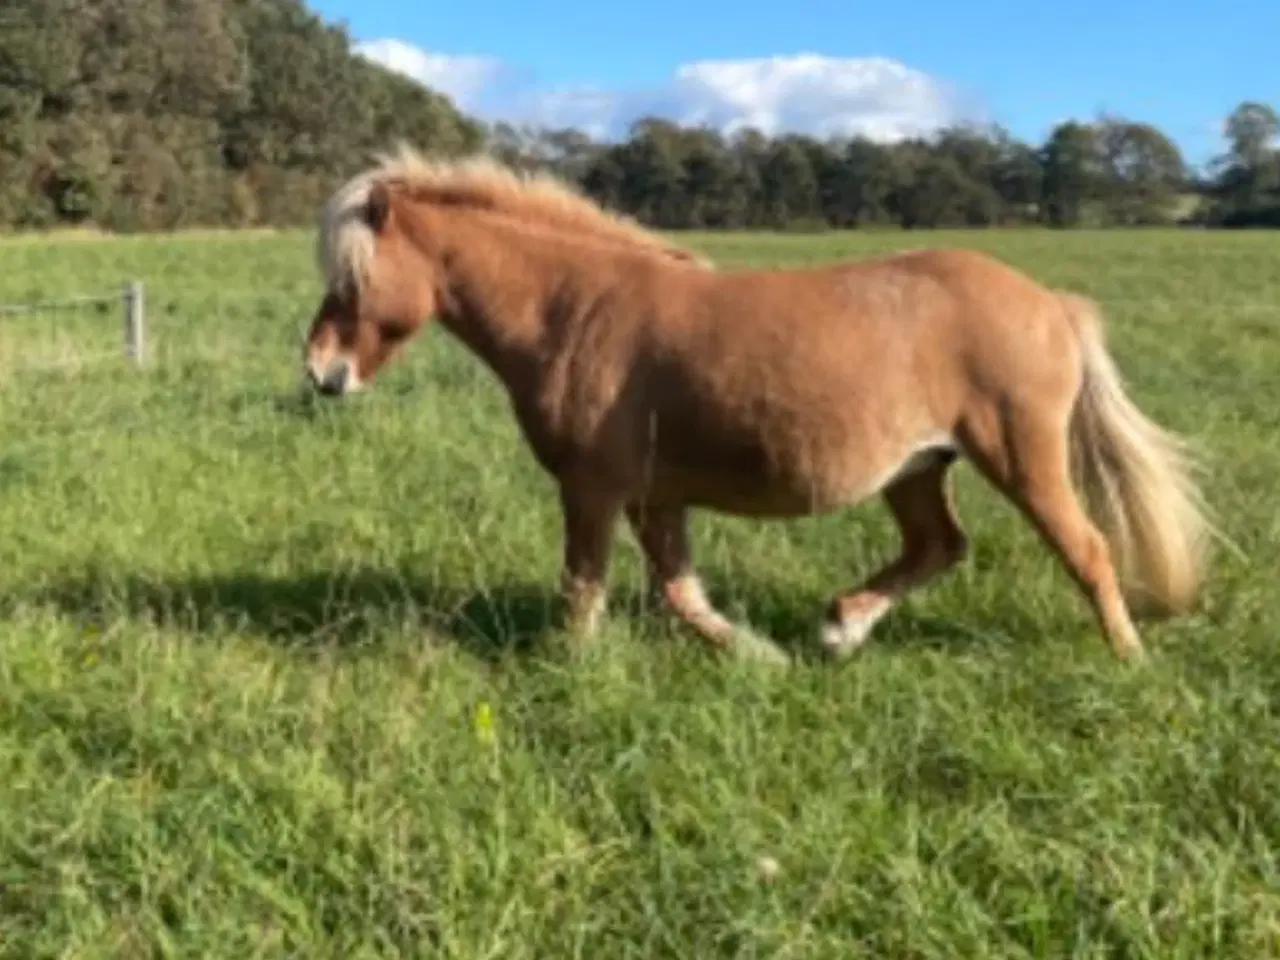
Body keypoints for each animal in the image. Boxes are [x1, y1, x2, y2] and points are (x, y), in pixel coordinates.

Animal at [299, 146, 1208, 670]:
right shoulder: (653, 494)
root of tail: (1051, 303)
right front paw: (757, 655)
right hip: (917, 467)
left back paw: (1128, 659)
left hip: (1020, 456)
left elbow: (585, 588)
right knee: (939, 546)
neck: (575, 307)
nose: (320, 373)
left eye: (352, 278)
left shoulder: (593, 489)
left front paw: (571, 670)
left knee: (1086, 549)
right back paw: (842, 628)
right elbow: (679, 592)